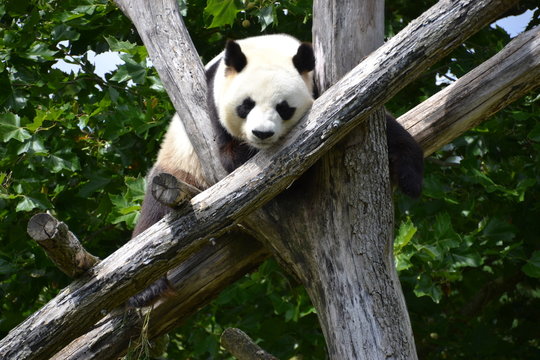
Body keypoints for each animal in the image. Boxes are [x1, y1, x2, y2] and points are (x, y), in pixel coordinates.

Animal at [127, 33, 422, 306]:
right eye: (246, 105)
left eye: (284, 108)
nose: (262, 133)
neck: (266, 48)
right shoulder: (212, 115)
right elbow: (231, 159)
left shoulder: (321, 88)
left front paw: (410, 177)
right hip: (178, 169)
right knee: (155, 217)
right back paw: (145, 290)